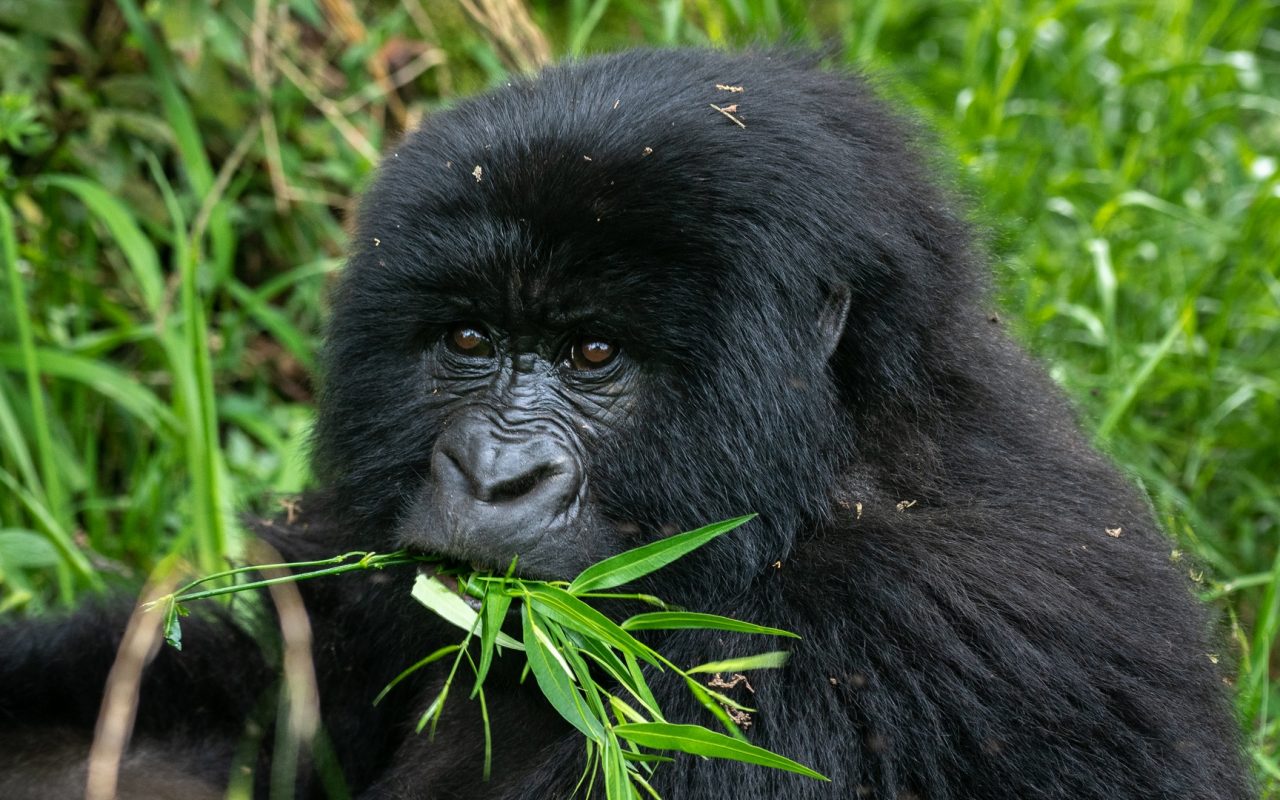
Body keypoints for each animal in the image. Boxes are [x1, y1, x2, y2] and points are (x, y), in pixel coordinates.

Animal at [0, 48, 1249, 798]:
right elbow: (255, 690)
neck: (819, 478)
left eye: (592, 355)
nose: (492, 474)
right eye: (470, 341)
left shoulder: (861, 630)